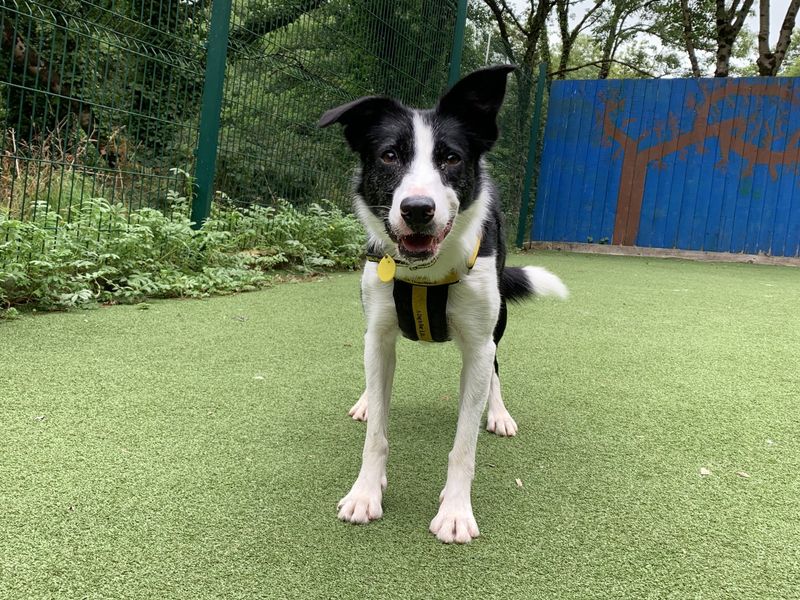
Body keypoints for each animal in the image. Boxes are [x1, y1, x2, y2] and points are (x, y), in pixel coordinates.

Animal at [318, 65, 568, 544]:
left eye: (451, 159)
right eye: (389, 156)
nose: (418, 209)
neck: (425, 275)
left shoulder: (478, 342)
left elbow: (464, 445)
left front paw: (455, 511)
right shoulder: (379, 335)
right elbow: (377, 434)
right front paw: (365, 493)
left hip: (498, 322)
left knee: (495, 366)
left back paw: (499, 412)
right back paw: (366, 400)